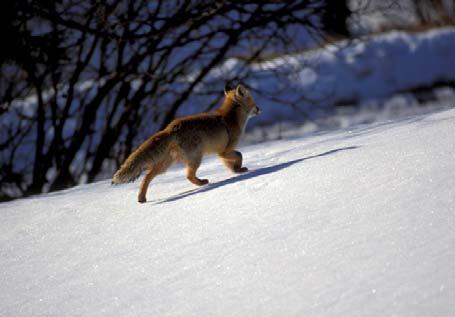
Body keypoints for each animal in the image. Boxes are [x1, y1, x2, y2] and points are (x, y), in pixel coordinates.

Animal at [112, 83, 262, 202]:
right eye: (253, 100)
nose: (259, 109)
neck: (231, 118)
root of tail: (171, 127)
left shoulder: (222, 154)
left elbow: (231, 164)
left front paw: (236, 171)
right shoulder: (225, 151)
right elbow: (240, 155)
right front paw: (240, 169)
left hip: (166, 165)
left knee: (147, 176)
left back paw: (141, 198)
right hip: (195, 159)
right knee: (189, 176)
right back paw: (202, 183)